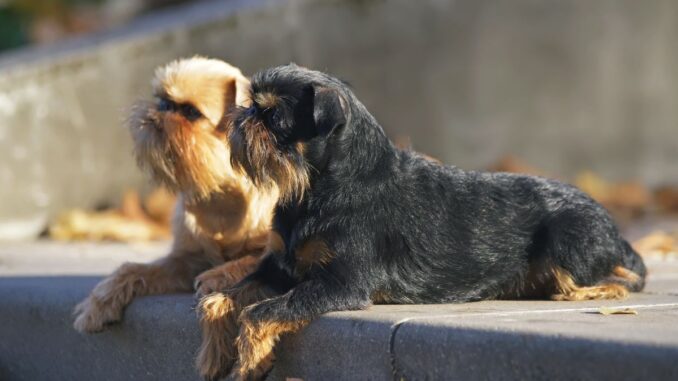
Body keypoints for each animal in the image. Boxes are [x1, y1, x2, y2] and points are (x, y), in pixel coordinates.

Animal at [72, 57, 278, 378]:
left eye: (191, 112)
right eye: (162, 101)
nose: (160, 110)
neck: (219, 197)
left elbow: (246, 260)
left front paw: (216, 276)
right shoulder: (185, 261)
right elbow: (132, 270)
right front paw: (97, 304)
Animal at [220, 63, 652, 378]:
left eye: (275, 117)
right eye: (253, 106)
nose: (243, 116)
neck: (315, 189)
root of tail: (616, 230)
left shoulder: (340, 284)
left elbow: (263, 311)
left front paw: (248, 358)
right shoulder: (278, 264)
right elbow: (233, 293)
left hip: (568, 241)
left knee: (623, 276)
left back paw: (591, 291)